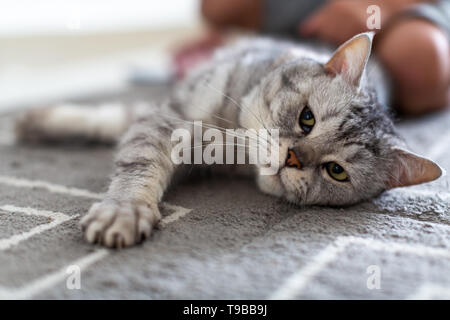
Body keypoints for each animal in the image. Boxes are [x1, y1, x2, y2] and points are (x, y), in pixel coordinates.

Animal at [14, 32, 442, 248]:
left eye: (336, 171)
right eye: (307, 119)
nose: (293, 159)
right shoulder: (166, 117)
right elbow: (130, 150)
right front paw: (125, 209)